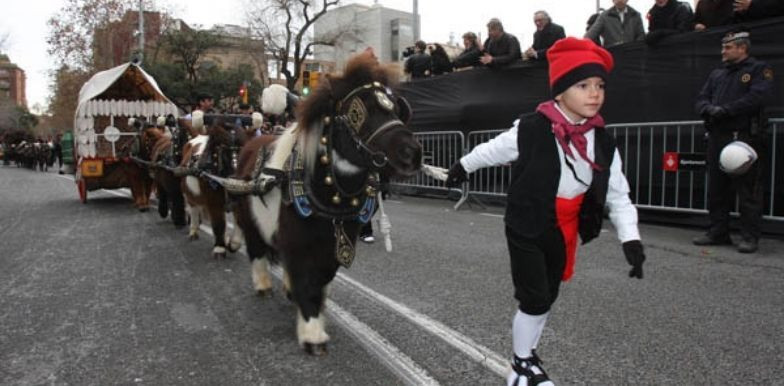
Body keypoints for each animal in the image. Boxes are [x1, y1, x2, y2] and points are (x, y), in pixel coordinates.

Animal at [180, 116, 245, 258]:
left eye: (243, 150)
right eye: (224, 151)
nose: (236, 179)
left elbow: (239, 220)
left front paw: (233, 244)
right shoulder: (213, 201)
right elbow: (218, 223)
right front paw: (219, 248)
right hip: (190, 194)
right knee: (193, 207)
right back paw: (193, 230)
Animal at [227, 52, 422, 354]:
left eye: (394, 110)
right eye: (357, 113)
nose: (412, 154)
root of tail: (249, 141)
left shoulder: (333, 246)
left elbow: (320, 279)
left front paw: (313, 311)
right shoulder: (298, 243)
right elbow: (306, 283)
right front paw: (312, 333)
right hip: (250, 221)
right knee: (256, 251)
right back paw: (262, 284)